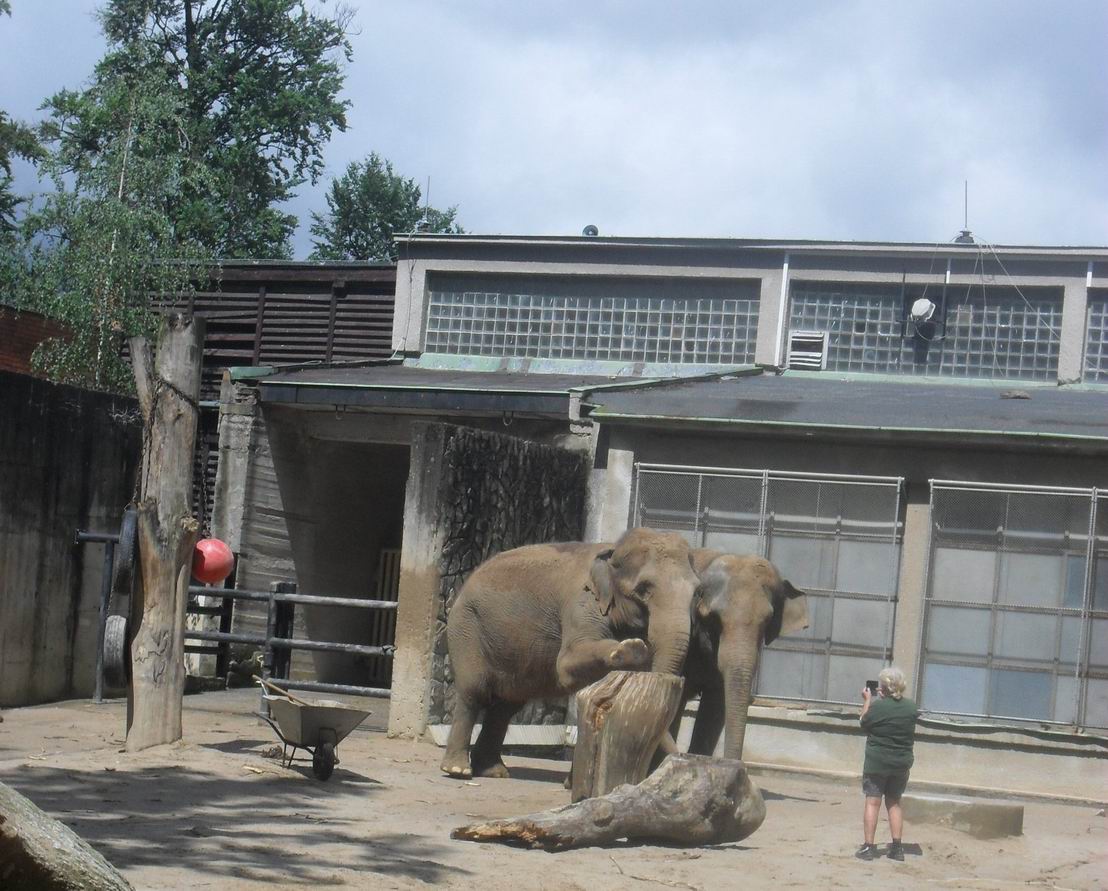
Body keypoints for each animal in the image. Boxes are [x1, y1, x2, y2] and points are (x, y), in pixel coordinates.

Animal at [440, 525, 700, 775]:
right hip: (466, 628)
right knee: (474, 691)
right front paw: (632, 649)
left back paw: (493, 771)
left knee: (506, 706)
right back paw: (458, 770)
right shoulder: (581, 602)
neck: (612, 548)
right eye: (643, 589)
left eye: (696, 592)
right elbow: (566, 662)